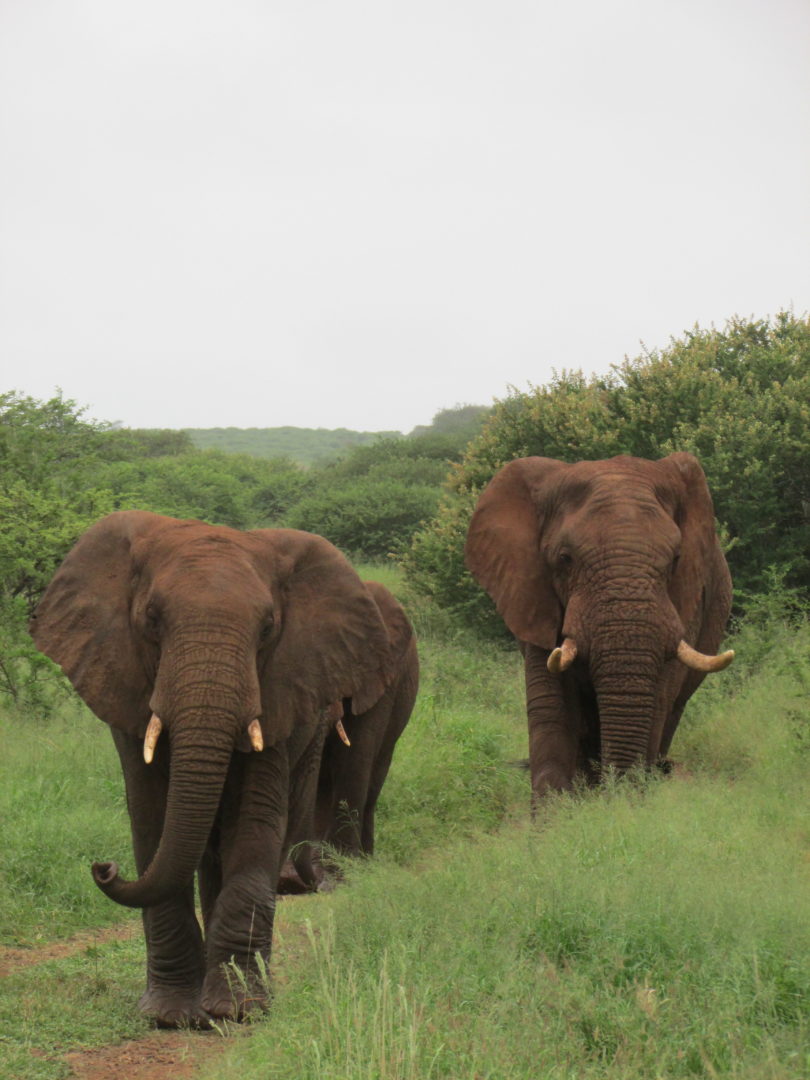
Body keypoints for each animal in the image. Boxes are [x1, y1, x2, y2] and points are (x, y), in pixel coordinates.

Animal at [29, 510, 400, 1028]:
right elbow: (152, 815)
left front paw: (238, 1010)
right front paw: (171, 1016)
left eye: (267, 627)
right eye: (151, 619)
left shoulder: (279, 690)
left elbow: (254, 821)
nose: (103, 867)